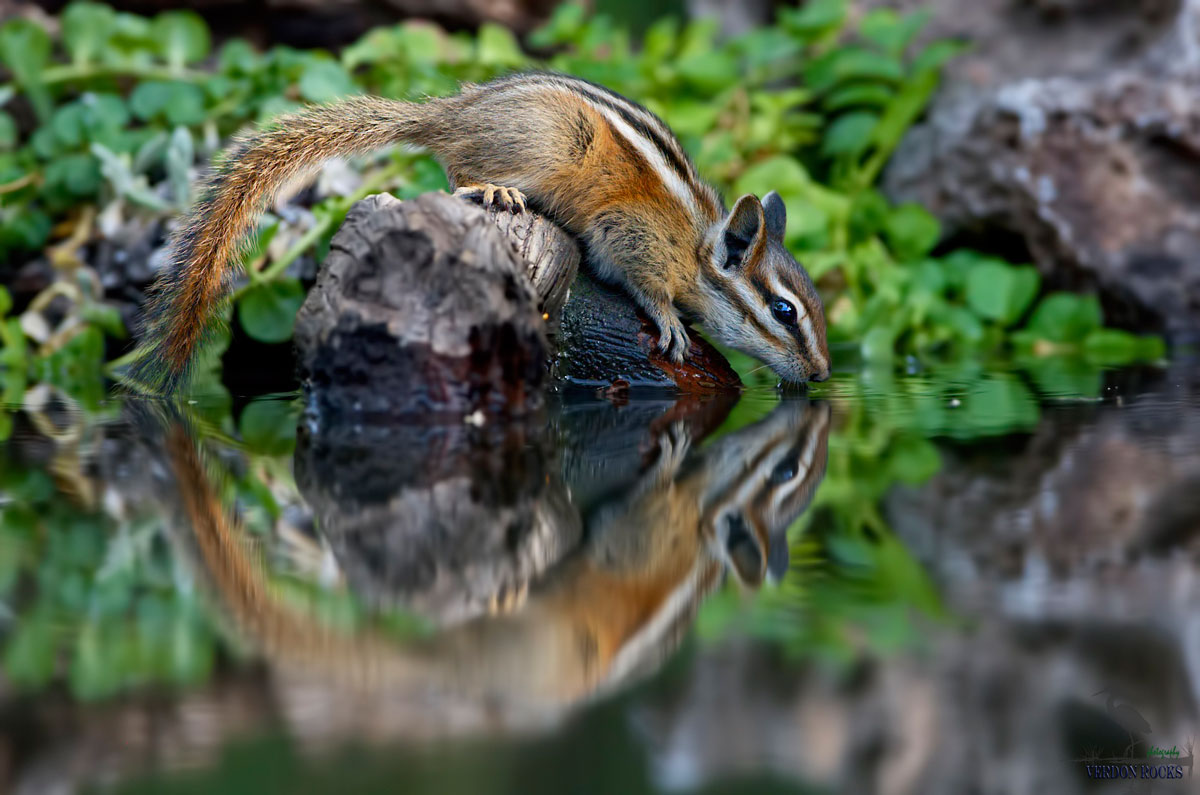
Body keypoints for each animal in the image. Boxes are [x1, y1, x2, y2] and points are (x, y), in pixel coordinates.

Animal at [131, 72, 831, 393]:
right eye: (784, 310)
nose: (824, 374)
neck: (696, 248)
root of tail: (450, 113)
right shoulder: (631, 236)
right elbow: (643, 282)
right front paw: (670, 322)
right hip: (545, 145)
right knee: (458, 168)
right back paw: (494, 190)